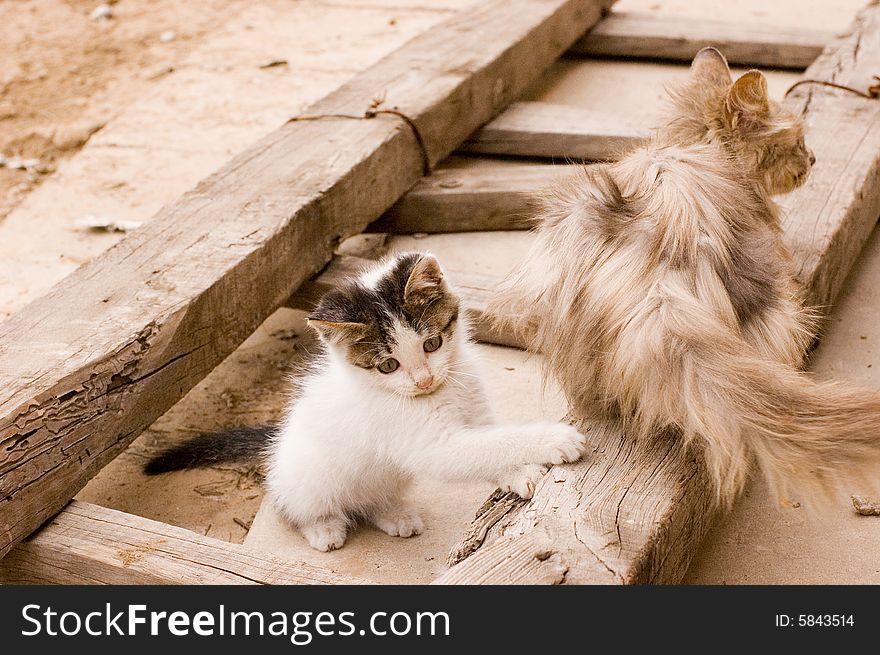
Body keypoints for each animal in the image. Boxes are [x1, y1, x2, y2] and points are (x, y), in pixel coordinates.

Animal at [144, 254, 584, 552]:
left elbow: (489, 441)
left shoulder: (474, 406)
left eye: (432, 344)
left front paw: (518, 473)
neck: (440, 392)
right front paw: (555, 440)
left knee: (370, 496)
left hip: (383, 476)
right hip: (305, 482)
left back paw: (392, 514)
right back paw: (322, 527)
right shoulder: (430, 445)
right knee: (293, 505)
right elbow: (486, 446)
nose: (424, 380)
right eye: (388, 365)